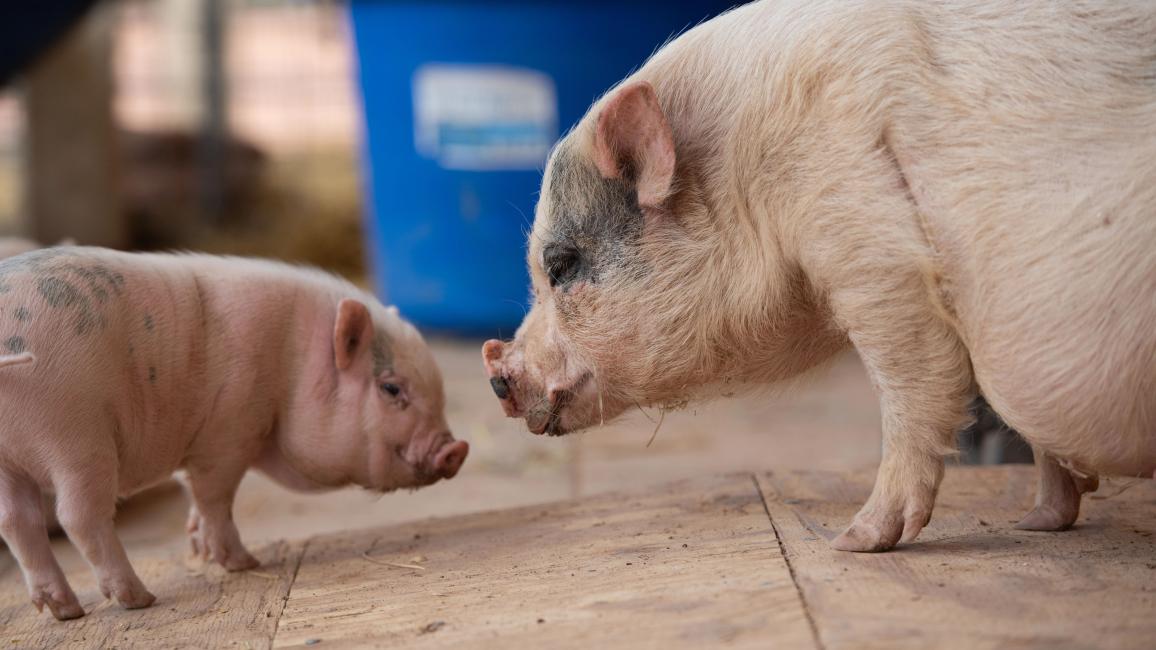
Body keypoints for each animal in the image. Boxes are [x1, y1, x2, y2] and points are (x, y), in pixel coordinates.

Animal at [2, 245, 469, 615]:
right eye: (391, 388)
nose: (457, 448)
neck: (294, 361)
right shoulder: (228, 433)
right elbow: (215, 498)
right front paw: (241, 564)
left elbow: (194, 498)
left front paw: (199, 550)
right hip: (76, 439)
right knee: (79, 517)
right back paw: (139, 598)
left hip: (11, 463)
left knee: (17, 523)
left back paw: (64, 611)